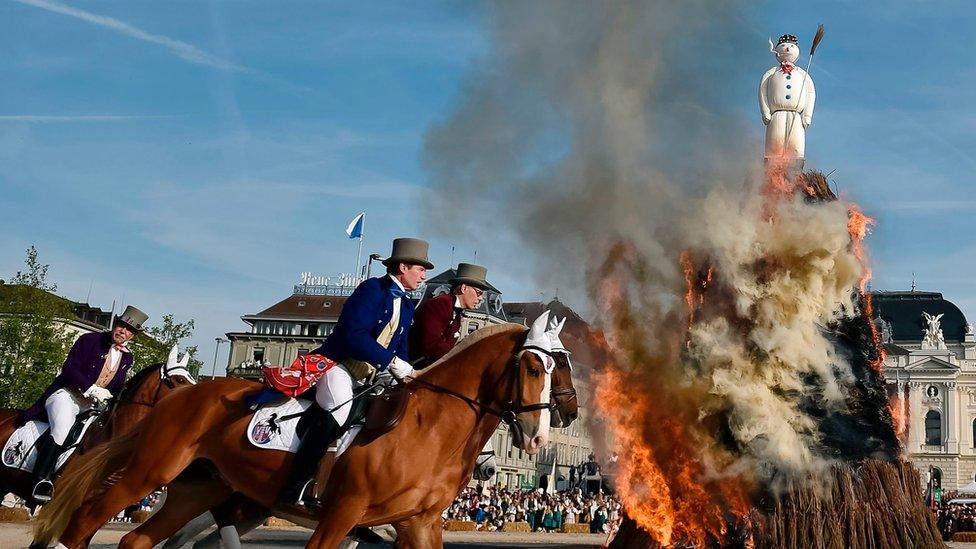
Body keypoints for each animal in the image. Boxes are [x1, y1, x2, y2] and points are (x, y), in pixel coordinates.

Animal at [34, 312, 560, 548]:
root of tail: (180, 397)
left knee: (138, 539)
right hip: (148, 475)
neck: (428, 428)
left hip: (197, 489)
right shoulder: (342, 514)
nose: (537, 438)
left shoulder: (419, 523)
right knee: (84, 522)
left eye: (559, 370)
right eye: (535, 367)